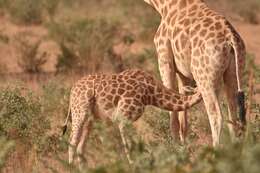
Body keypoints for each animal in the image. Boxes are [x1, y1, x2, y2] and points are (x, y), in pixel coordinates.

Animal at [62, 69, 201, 166]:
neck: (151, 93)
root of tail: (72, 91)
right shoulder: (123, 117)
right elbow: (128, 145)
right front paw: (133, 165)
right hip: (80, 111)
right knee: (72, 142)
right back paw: (71, 167)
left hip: (89, 119)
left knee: (80, 147)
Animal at [142, 0, 246, 146]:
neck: (163, 6)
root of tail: (231, 39)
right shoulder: (183, 73)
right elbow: (183, 113)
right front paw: (183, 146)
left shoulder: (164, 59)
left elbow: (172, 111)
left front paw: (174, 146)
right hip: (233, 73)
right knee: (233, 115)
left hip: (204, 78)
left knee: (216, 115)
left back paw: (216, 149)